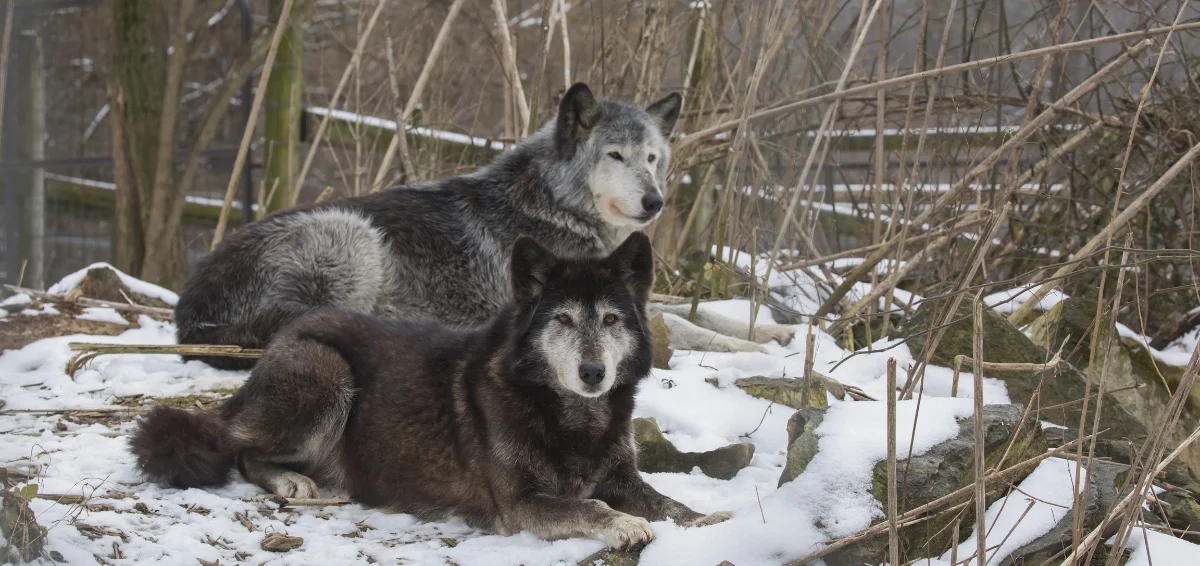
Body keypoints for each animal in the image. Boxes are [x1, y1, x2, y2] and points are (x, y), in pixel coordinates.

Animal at [132, 233, 729, 549]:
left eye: (609, 319)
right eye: (562, 318)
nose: (592, 372)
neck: (567, 416)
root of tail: (283, 338)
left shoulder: (624, 477)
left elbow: (668, 503)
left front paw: (711, 522)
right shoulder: (521, 506)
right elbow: (593, 508)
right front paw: (624, 524)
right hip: (327, 371)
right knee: (239, 448)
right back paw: (290, 481)